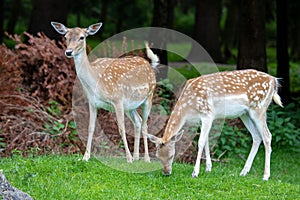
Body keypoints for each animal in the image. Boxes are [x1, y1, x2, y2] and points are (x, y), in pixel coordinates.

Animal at [51, 21, 158, 162]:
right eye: (66, 37)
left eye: (82, 37)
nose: (69, 52)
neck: (95, 82)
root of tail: (149, 64)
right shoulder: (92, 102)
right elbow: (90, 128)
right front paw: (85, 157)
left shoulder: (117, 100)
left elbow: (121, 129)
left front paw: (128, 158)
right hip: (130, 106)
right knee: (138, 121)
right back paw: (136, 157)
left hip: (149, 96)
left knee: (145, 125)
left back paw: (146, 158)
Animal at [148, 69, 284, 180]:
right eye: (157, 156)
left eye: (172, 156)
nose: (166, 173)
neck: (188, 108)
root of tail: (274, 81)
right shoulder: (201, 119)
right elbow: (207, 140)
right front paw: (208, 168)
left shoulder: (207, 114)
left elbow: (201, 142)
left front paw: (195, 172)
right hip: (245, 113)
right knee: (256, 136)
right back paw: (244, 172)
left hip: (259, 108)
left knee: (267, 136)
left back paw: (265, 175)